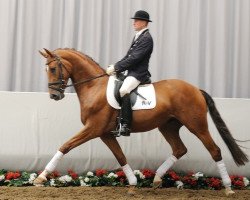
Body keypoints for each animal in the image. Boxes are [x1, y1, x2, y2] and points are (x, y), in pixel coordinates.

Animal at [33, 48, 248, 195]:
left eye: (53, 68)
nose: (54, 96)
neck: (94, 87)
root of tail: (196, 89)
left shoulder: (93, 128)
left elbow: (65, 146)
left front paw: (42, 177)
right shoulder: (104, 133)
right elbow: (120, 157)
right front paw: (132, 184)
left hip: (197, 125)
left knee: (215, 150)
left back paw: (228, 188)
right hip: (168, 126)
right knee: (179, 149)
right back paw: (157, 178)